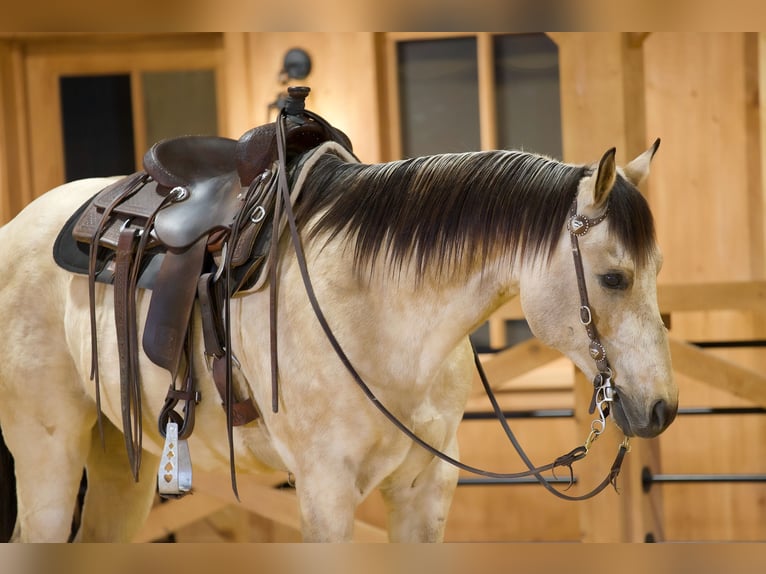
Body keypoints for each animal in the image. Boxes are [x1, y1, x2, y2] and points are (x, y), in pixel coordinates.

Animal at [0, 137, 677, 542]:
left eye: (657, 269)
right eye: (614, 277)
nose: (662, 409)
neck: (380, 308)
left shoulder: (426, 488)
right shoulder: (326, 490)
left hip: (123, 462)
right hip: (48, 454)